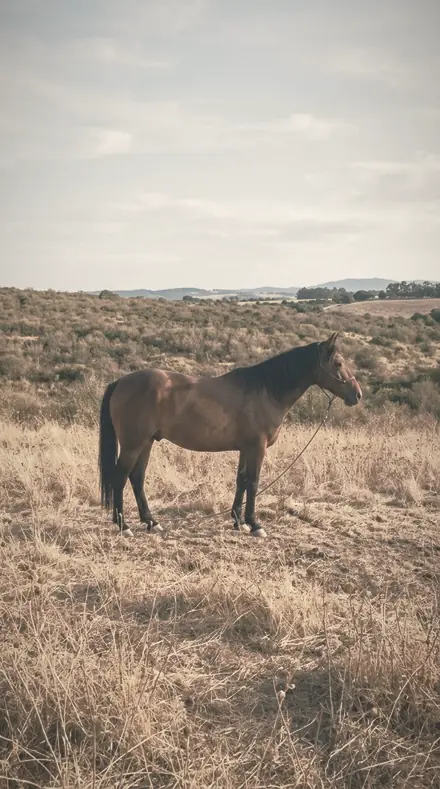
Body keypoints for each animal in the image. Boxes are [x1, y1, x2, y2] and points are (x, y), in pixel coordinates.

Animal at [98, 332, 362, 538]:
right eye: (338, 363)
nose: (357, 395)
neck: (266, 391)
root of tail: (121, 381)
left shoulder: (246, 448)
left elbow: (241, 481)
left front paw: (238, 521)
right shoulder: (257, 447)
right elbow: (253, 483)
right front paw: (255, 525)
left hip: (147, 443)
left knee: (137, 478)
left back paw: (151, 522)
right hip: (133, 444)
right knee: (120, 478)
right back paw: (124, 526)